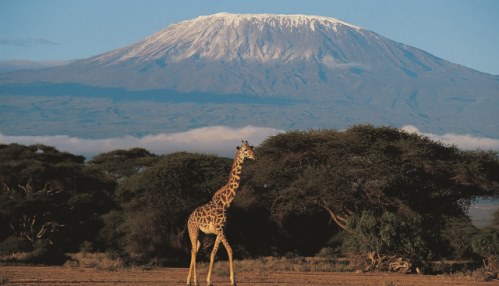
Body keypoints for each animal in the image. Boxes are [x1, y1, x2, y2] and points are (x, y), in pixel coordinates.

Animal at [188, 141, 258, 286]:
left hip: (201, 235)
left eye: (251, 148)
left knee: (193, 250)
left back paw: (188, 281)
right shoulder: (220, 230)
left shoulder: (221, 230)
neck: (225, 203)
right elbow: (230, 250)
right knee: (193, 252)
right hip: (193, 231)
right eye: (245, 150)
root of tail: (188, 219)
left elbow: (213, 254)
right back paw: (195, 281)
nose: (254, 156)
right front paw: (233, 281)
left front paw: (209, 280)